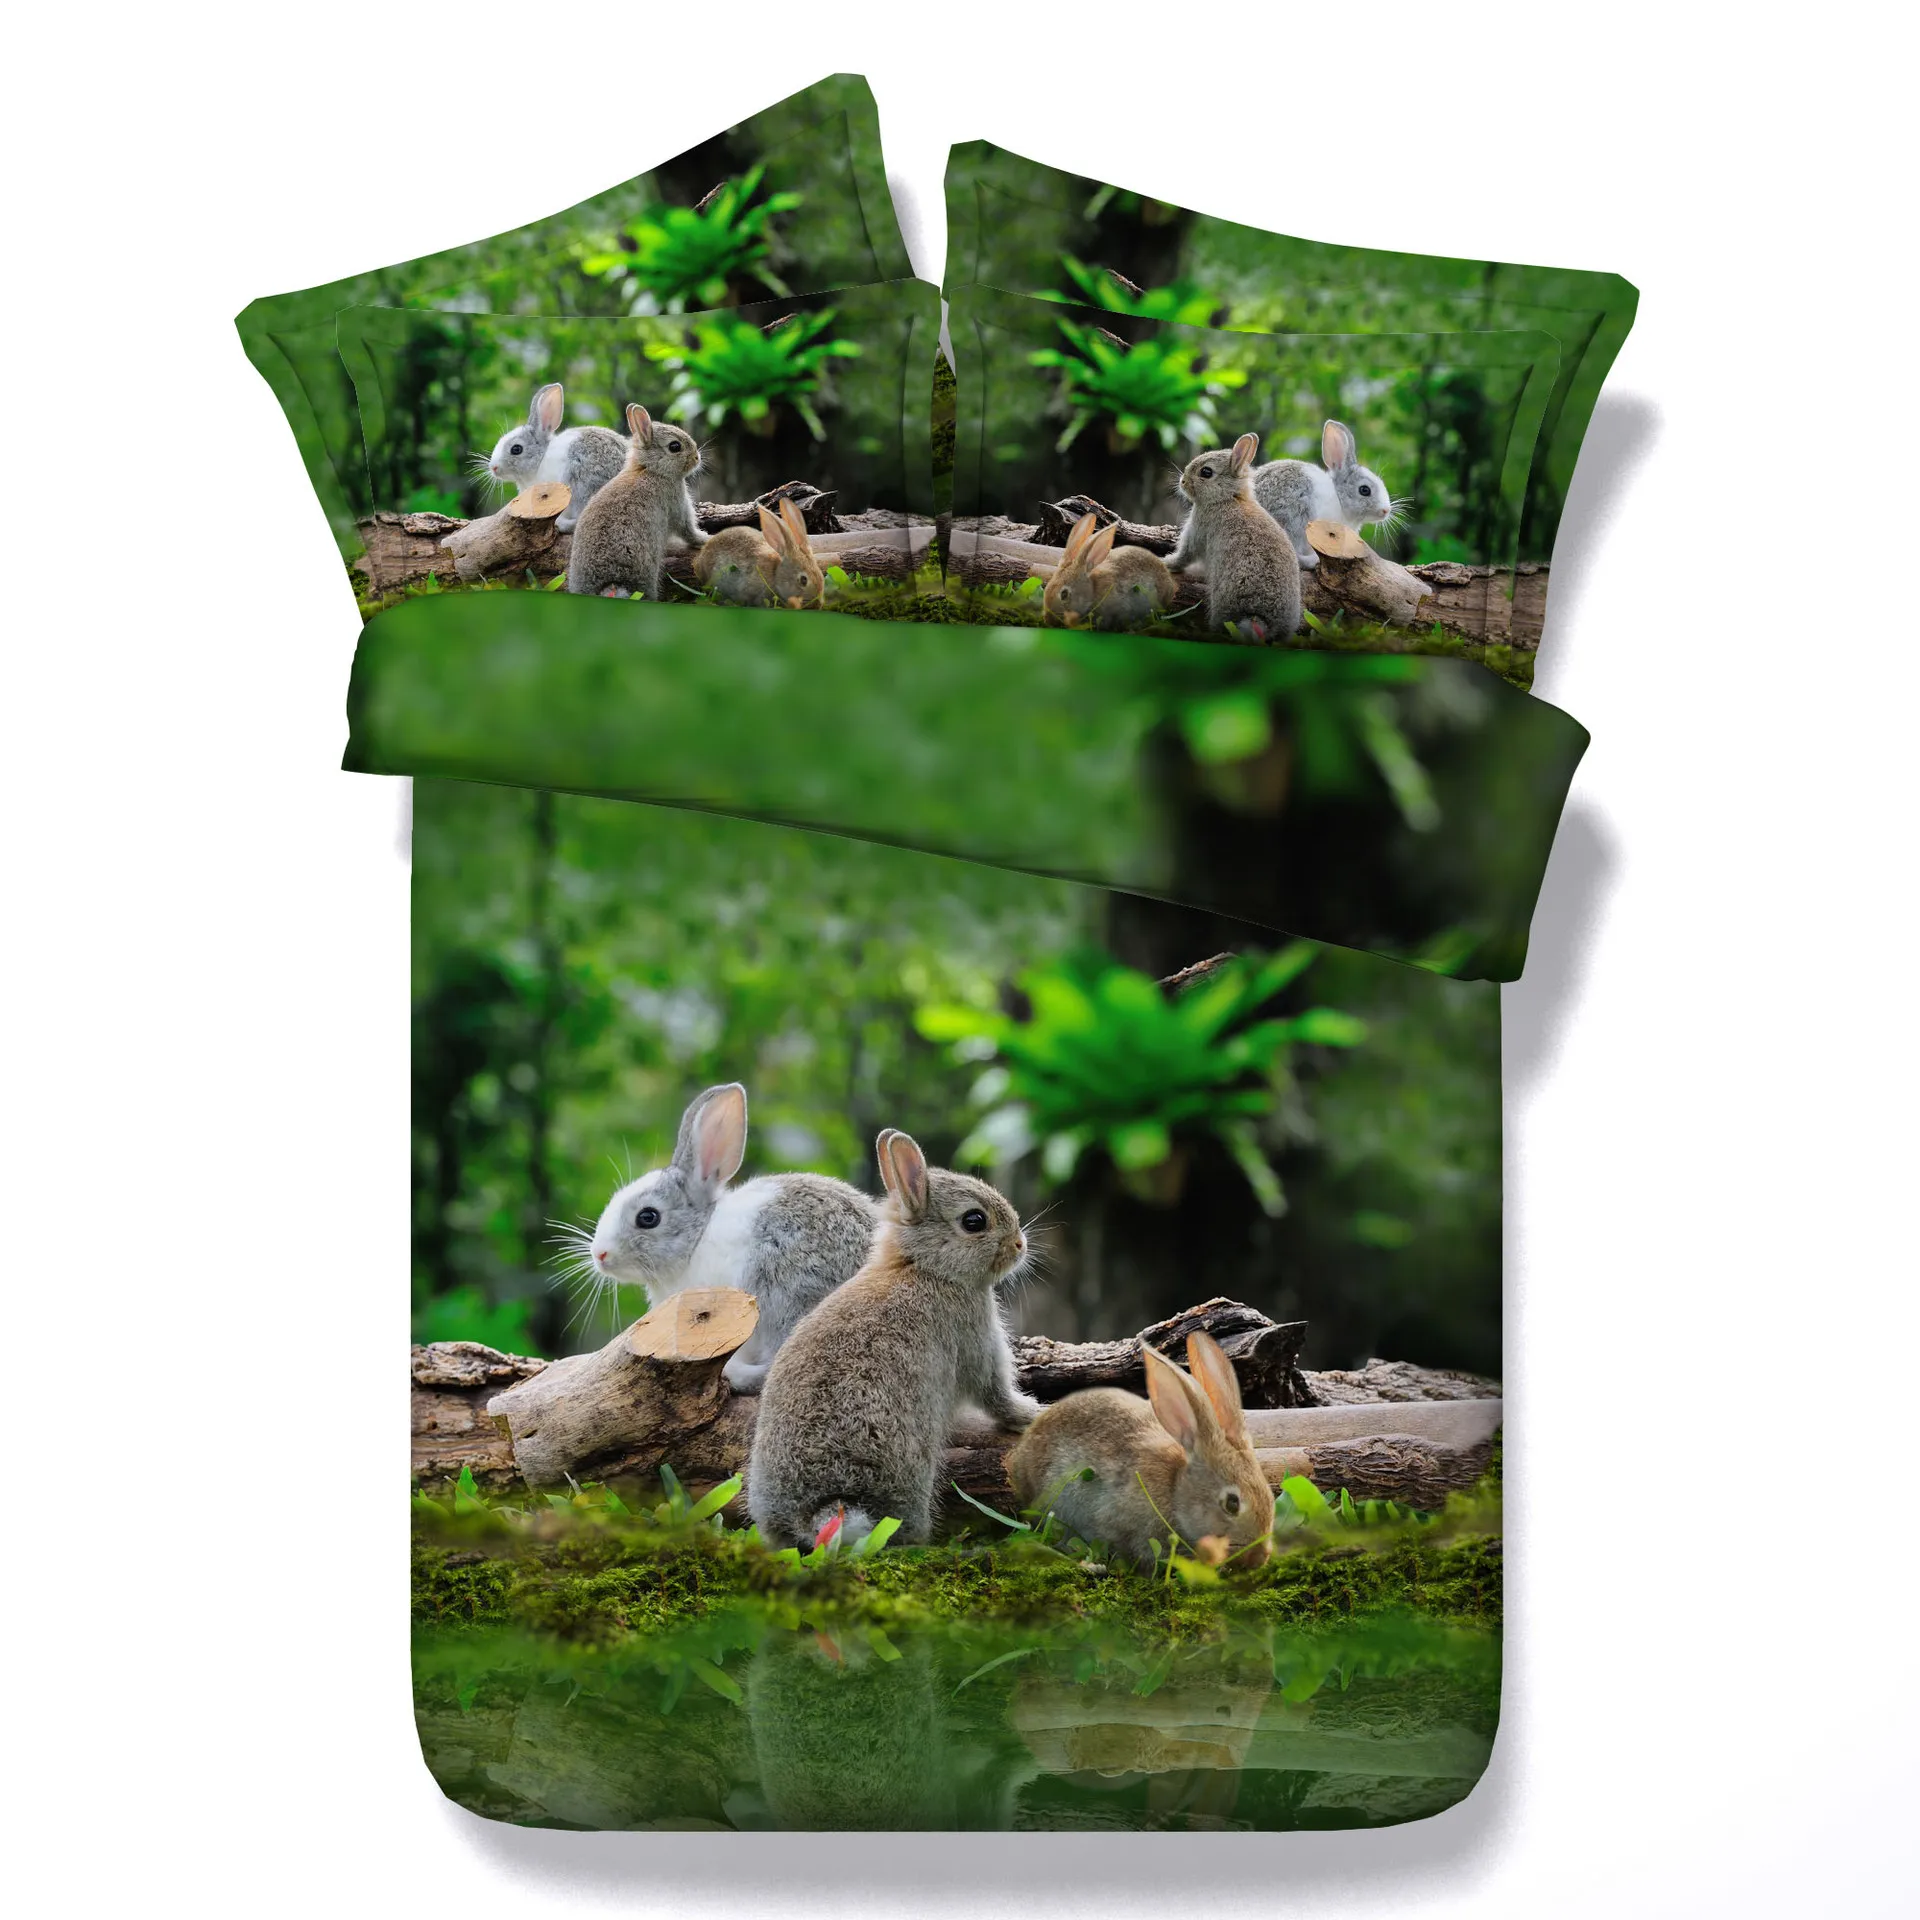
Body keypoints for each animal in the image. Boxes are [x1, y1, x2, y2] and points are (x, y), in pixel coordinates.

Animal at [566, 404, 708, 599]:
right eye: (675, 446)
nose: (696, 458)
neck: (650, 469)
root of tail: (609, 585)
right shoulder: (677, 504)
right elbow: (688, 530)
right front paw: (705, 538)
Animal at [747, 1129, 1039, 1549]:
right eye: (974, 1221)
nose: (1019, 1245)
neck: (925, 1268)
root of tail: (820, 1508)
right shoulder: (976, 1338)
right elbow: (995, 1394)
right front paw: (1032, 1413)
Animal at [1165, 433, 1302, 643]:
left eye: (1206, 472)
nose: (1183, 481)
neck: (1228, 498)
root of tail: (1260, 619)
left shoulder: (1197, 531)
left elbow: (1185, 554)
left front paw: (1167, 562)